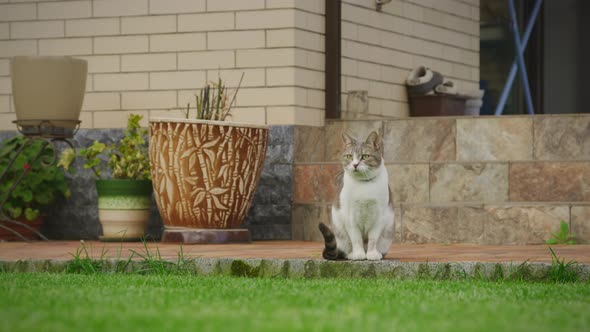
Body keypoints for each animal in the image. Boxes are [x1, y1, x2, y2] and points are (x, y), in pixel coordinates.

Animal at [316, 131, 396, 260]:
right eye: (349, 156)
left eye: (365, 156)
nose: (355, 164)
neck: (363, 185)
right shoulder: (350, 216)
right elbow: (356, 239)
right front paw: (358, 254)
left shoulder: (379, 216)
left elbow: (373, 239)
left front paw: (372, 254)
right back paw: (351, 254)